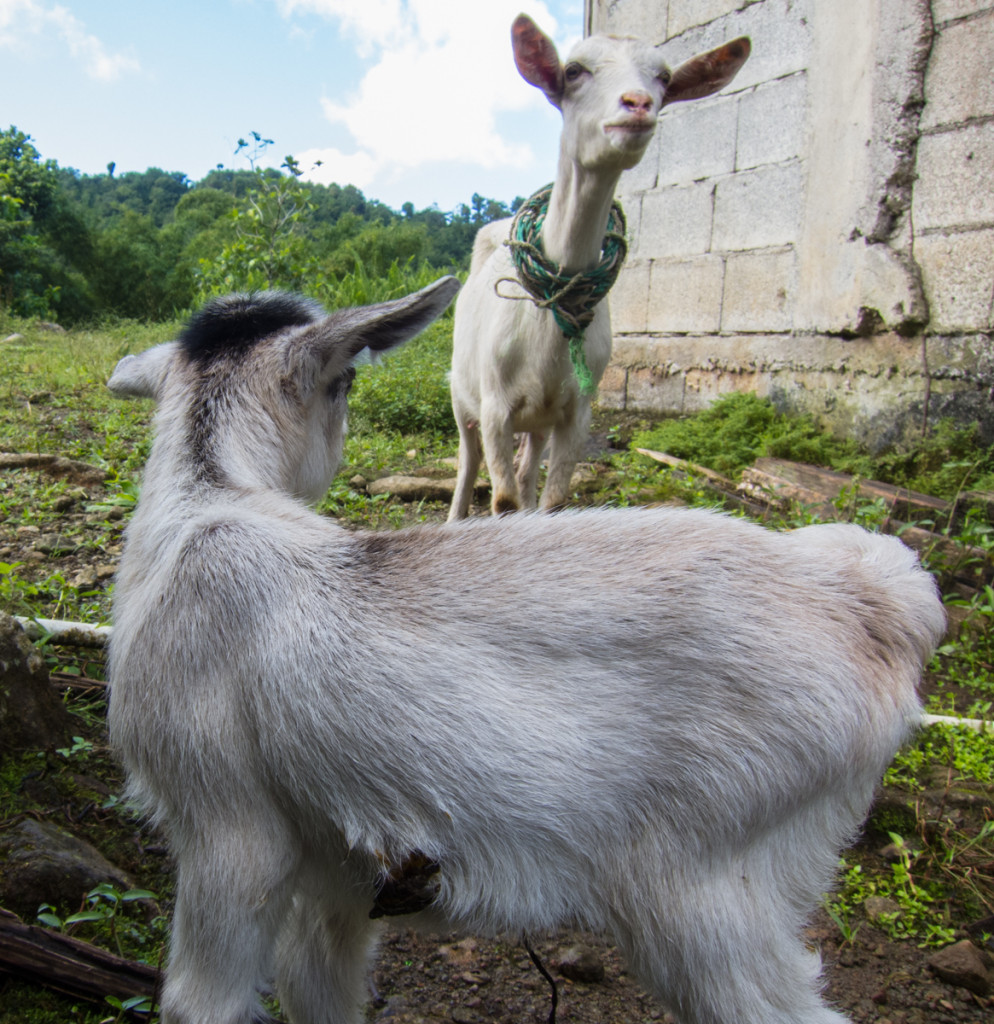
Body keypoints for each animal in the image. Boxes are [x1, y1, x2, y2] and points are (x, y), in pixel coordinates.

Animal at [109, 278, 949, 1024]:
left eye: (345, 381)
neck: (205, 500)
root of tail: (880, 601)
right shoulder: (338, 874)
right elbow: (318, 991)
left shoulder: (226, 824)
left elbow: (201, 1004)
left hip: (710, 882)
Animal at [448, 18, 745, 520]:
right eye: (573, 71)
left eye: (664, 77)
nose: (638, 104)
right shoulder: (494, 408)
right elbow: (502, 500)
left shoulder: (577, 413)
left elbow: (554, 500)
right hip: (460, 392)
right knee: (469, 464)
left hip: (539, 418)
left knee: (527, 471)